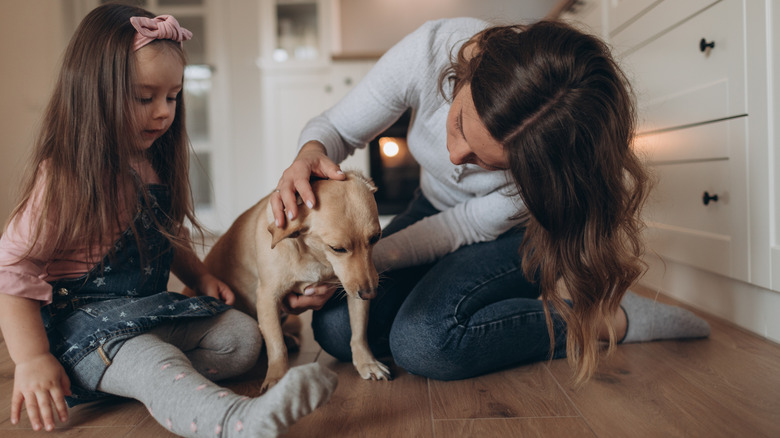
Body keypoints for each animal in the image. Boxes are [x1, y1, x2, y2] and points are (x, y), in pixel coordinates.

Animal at [194, 170, 390, 390]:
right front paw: (277, 378)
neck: (315, 257)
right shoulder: (267, 298)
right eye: (337, 248)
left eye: (375, 237)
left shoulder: (355, 289)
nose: (370, 293)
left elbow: (359, 332)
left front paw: (367, 362)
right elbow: (276, 345)